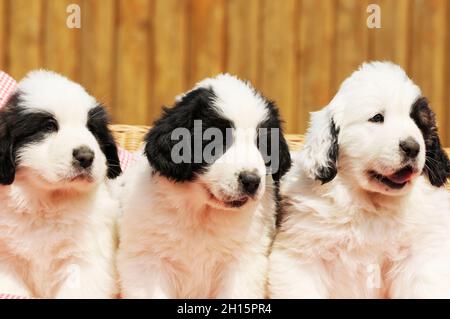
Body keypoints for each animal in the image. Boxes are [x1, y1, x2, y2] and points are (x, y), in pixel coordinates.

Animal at [0, 70, 122, 300]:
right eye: (48, 126)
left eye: (91, 129)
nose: (85, 156)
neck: (48, 201)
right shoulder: (7, 261)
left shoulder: (85, 261)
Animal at [117, 74, 292, 298]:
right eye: (214, 140)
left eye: (263, 144)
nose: (251, 181)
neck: (202, 212)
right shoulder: (148, 261)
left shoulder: (242, 261)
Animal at [268, 62, 450, 300]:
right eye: (377, 118)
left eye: (419, 122)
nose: (412, 147)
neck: (373, 205)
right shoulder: (301, 255)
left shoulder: (422, 255)